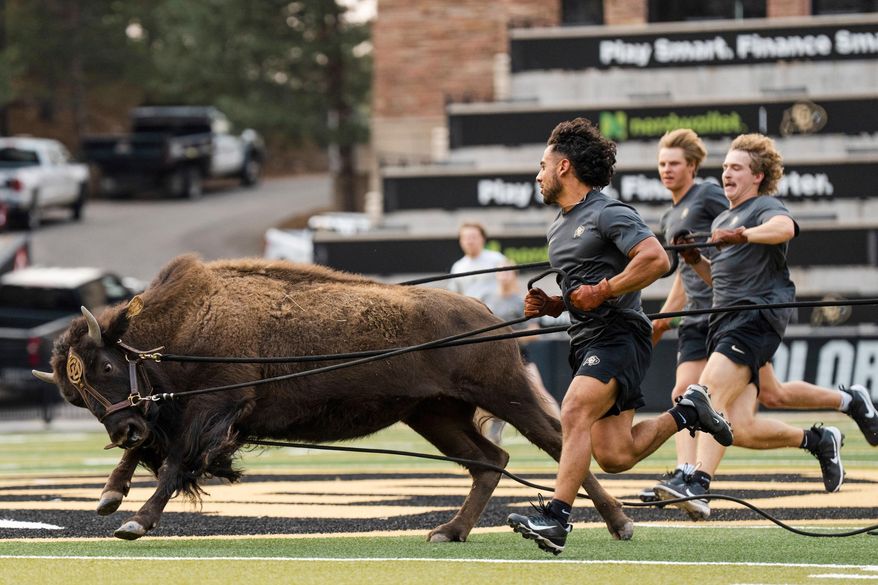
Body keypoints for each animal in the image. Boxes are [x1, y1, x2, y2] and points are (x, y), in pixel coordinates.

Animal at [33, 254, 633, 541]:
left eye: (106, 365)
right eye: (74, 396)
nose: (121, 429)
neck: (187, 322)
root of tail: (486, 314)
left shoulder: (212, 413)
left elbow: (177, 464)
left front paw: (133, 521)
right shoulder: (171, 417)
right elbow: (153, 453)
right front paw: (109, 496)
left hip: (504, 396)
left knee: (553, 442)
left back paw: (620, 523)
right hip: (433, 416)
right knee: (491, 459)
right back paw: (449, 532)